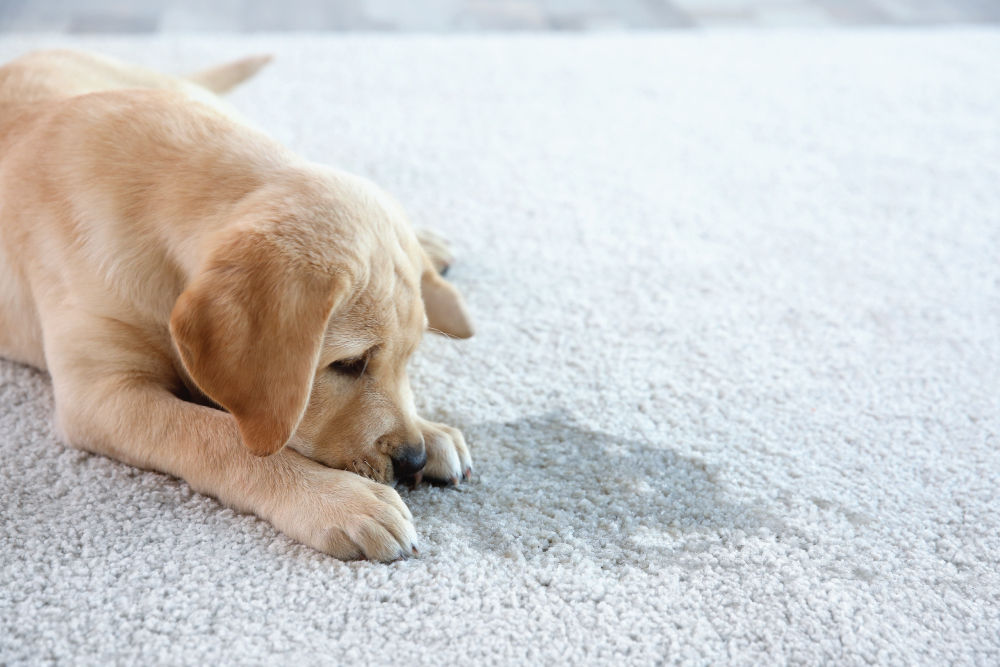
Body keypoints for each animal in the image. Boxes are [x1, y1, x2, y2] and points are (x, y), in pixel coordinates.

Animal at [0, 49, 474, 564]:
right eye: (349, 364)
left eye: (407, 359)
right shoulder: (102, 394)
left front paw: (431, 430)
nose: (413, 459)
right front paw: (338, 499)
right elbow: (219, 434)